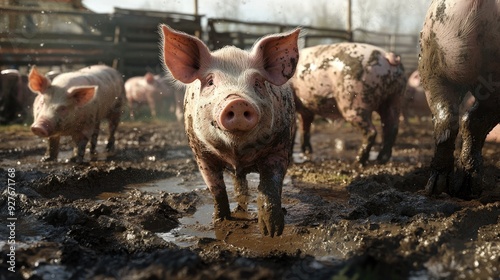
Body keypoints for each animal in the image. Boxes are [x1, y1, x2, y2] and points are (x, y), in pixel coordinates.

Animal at [161, 25, 300, 237]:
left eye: (258, 82)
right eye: (210, 82)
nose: (238, 101)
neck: (237, 152)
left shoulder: (279, 147)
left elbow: (270, 185)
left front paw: (272, 232)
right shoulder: (201, 154)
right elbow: (216, 188)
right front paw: (219, 220)